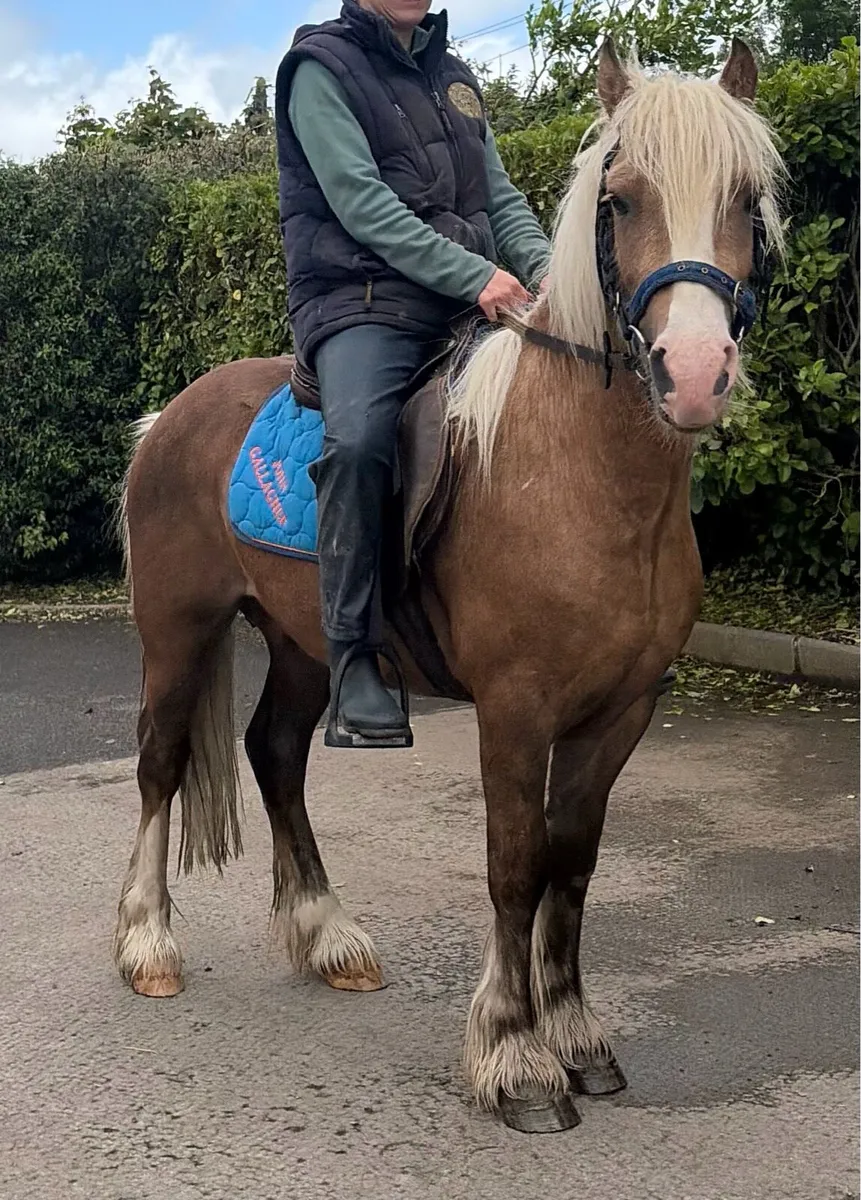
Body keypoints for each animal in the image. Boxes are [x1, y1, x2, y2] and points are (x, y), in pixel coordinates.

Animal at [113, 39, 783, 1132]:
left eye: (744, 198)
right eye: (621, 201)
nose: (692, 372)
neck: (580, 475)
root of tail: (168, 415)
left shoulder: (621, 711)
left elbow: (573, 866)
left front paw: (578, 1037)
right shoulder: (515, 709)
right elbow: (515, 867)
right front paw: (515, 1059)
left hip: (308, 643)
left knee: (276, 754)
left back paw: (327, 935)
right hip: (177, 631)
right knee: (161, 764)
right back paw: (147, 944)